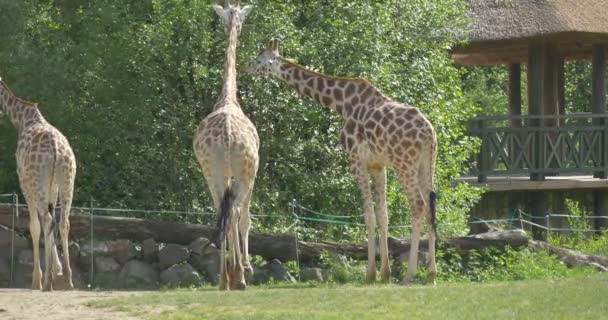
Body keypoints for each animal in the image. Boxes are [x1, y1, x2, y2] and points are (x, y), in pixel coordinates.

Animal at [0, 77, 75, 290]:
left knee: (47, 220)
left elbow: (35, 226)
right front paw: (57, 270)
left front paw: (38, 278)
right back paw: (68, 279)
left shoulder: (25, 183)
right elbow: (49, 223)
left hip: (38, 182)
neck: (22, 119)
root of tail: (57, 149)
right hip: (67, 180)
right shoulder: (53, 188)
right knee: (63, 222)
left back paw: (47, 282)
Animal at [245, 40, 440, 284]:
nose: (245, 69)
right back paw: (431, 273)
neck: (342, 103)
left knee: (418, 205)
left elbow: (368, 216)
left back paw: (409, 274)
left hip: (405, 164)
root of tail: (428, 133)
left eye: (259, 59)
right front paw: (385, 274)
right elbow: (383, 216)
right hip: (426, 162)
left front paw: (371, 274)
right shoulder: (378, 165)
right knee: (431, 206)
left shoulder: (356, 161)